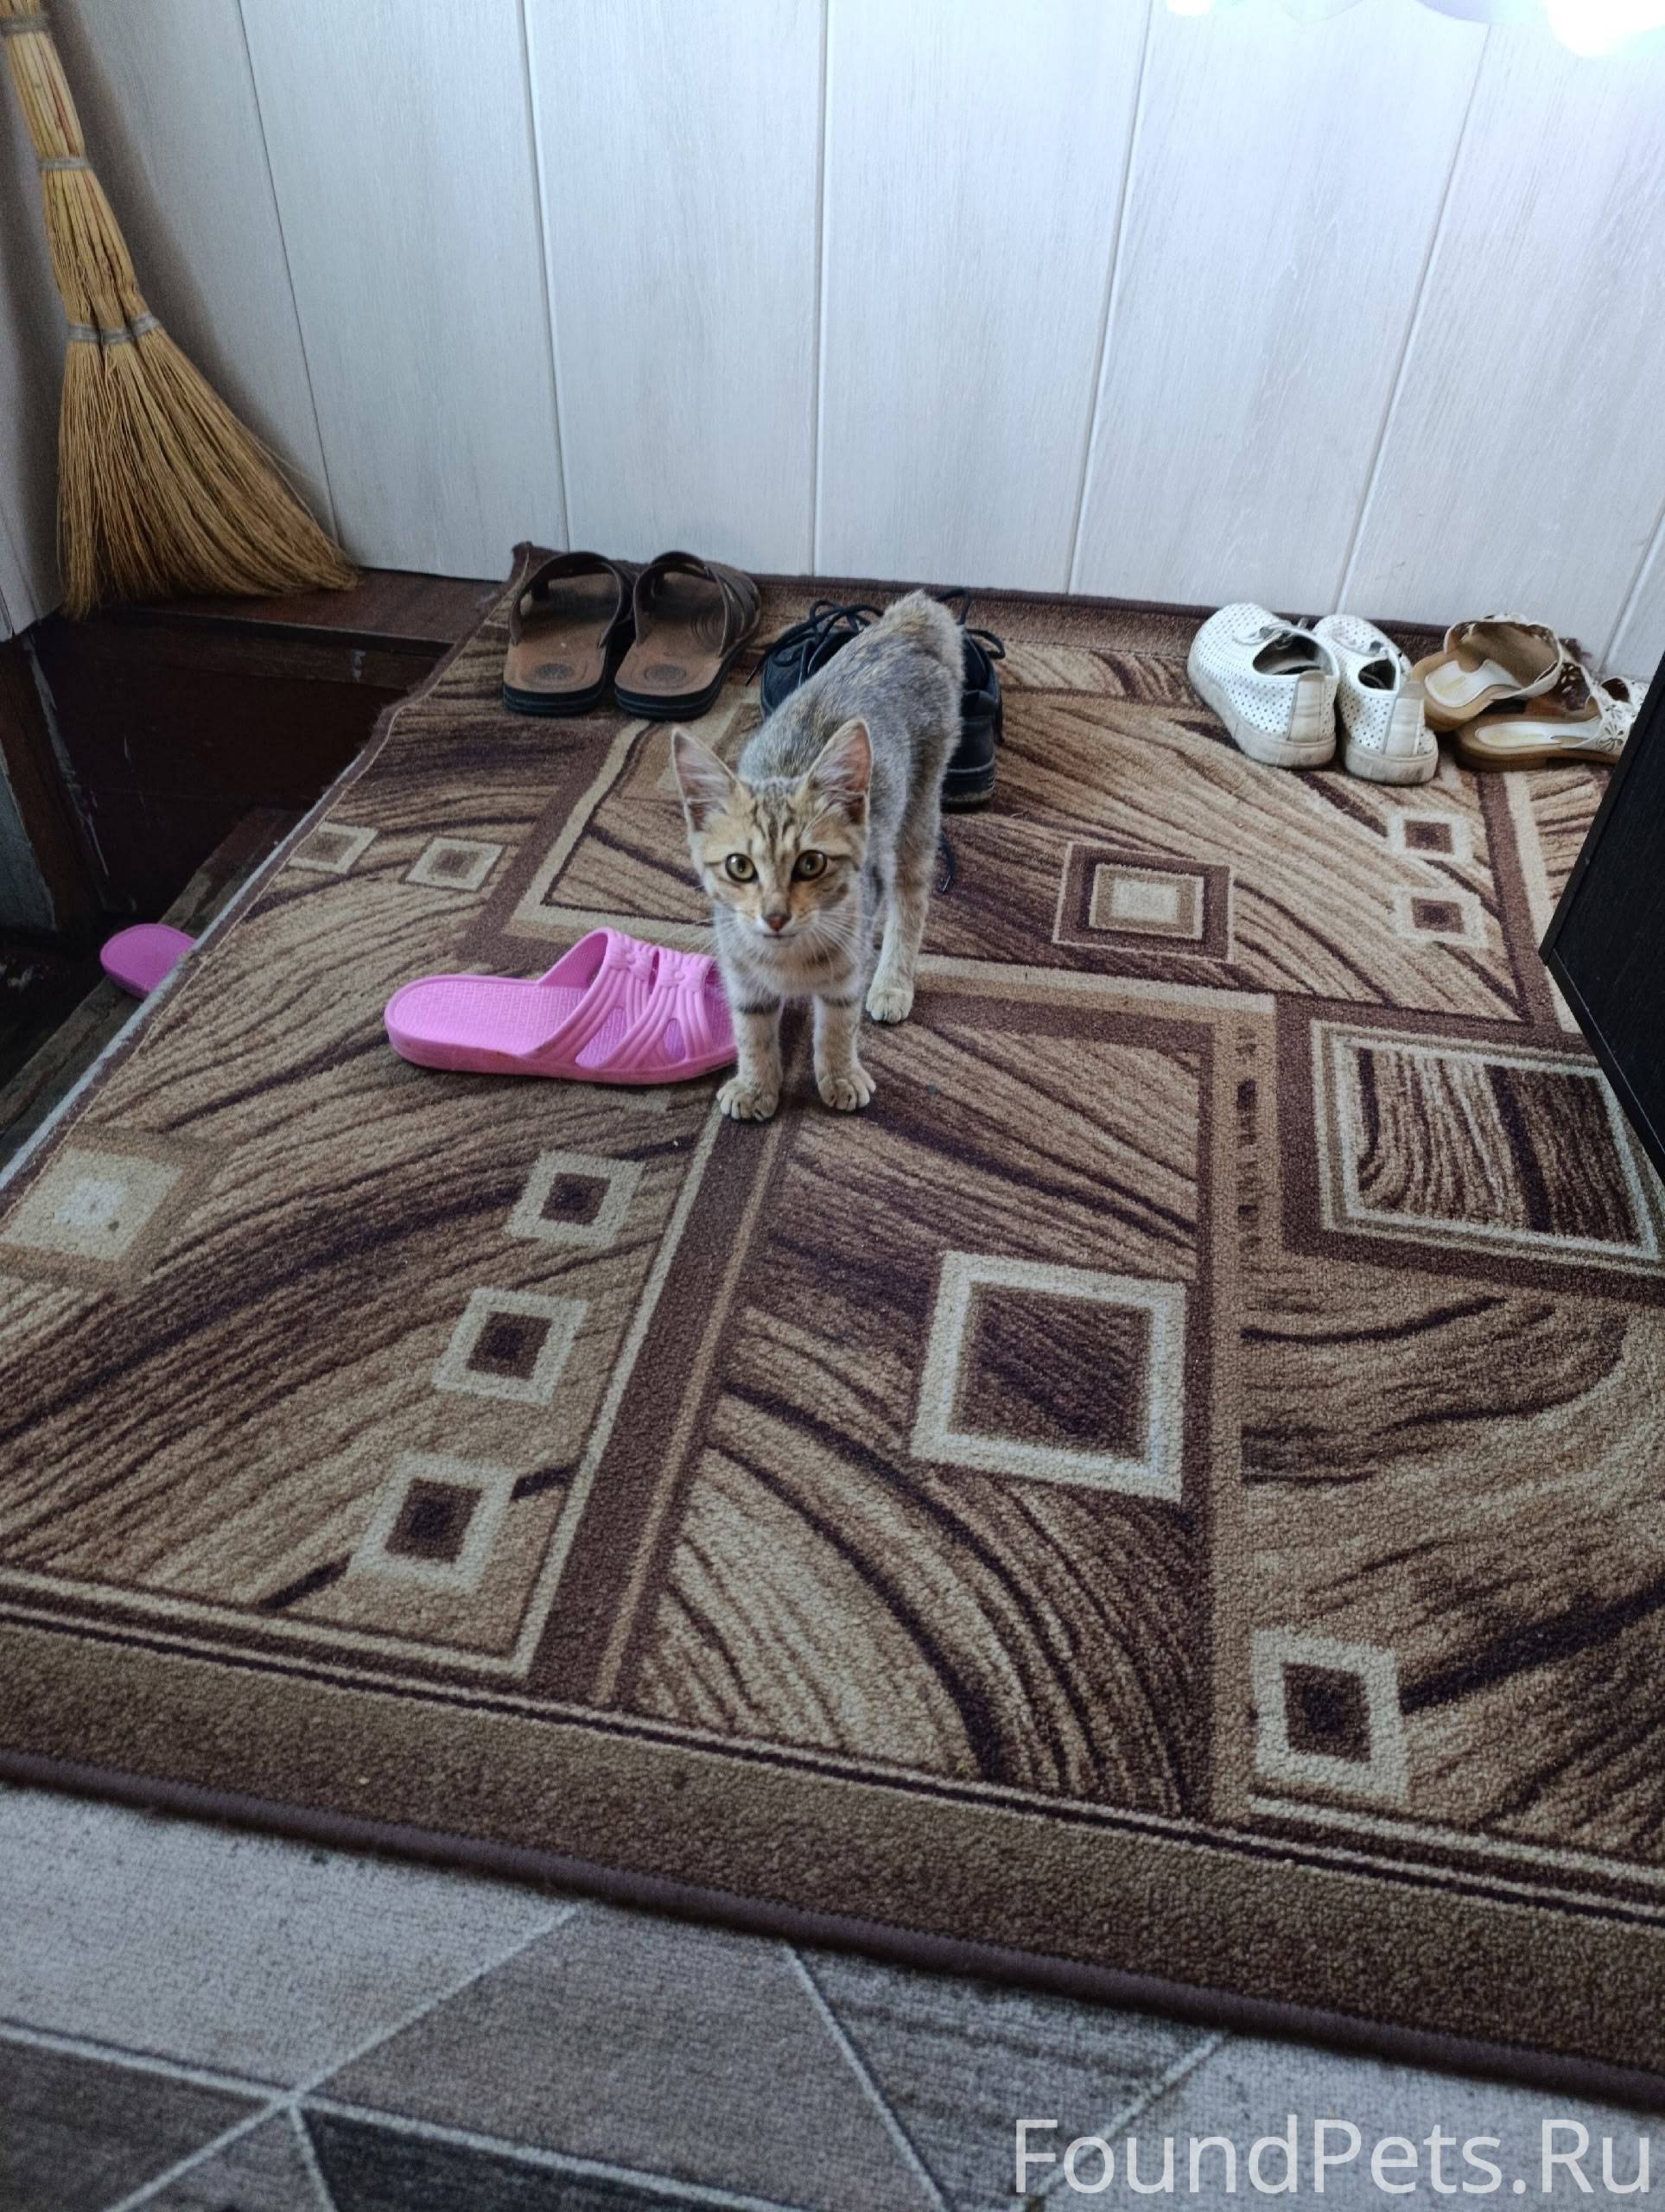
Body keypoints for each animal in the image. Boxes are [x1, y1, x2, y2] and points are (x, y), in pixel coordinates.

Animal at [671, 590, 961, 1121]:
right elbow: (752, 1031)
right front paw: (756, 1085)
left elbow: (837, 1029)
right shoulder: (742, 976)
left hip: (918, 815)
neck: (786, 960)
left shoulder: (846, 972)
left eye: (811, 863)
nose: (775, 916)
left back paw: (893, 981)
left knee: (910, 901)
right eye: (739, 867)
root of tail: (902, 624)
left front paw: (840, 1076)